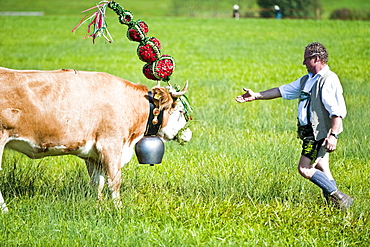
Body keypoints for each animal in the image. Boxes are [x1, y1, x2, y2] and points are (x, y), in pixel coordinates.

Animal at [0, 66, 191, 211]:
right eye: (181, 111)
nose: (188, 134)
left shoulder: (92, 155)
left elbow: (97, 183)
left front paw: (98, 205)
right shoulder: (111, 144)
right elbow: (114, 181)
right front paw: (119, 209)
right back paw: (5, 210)